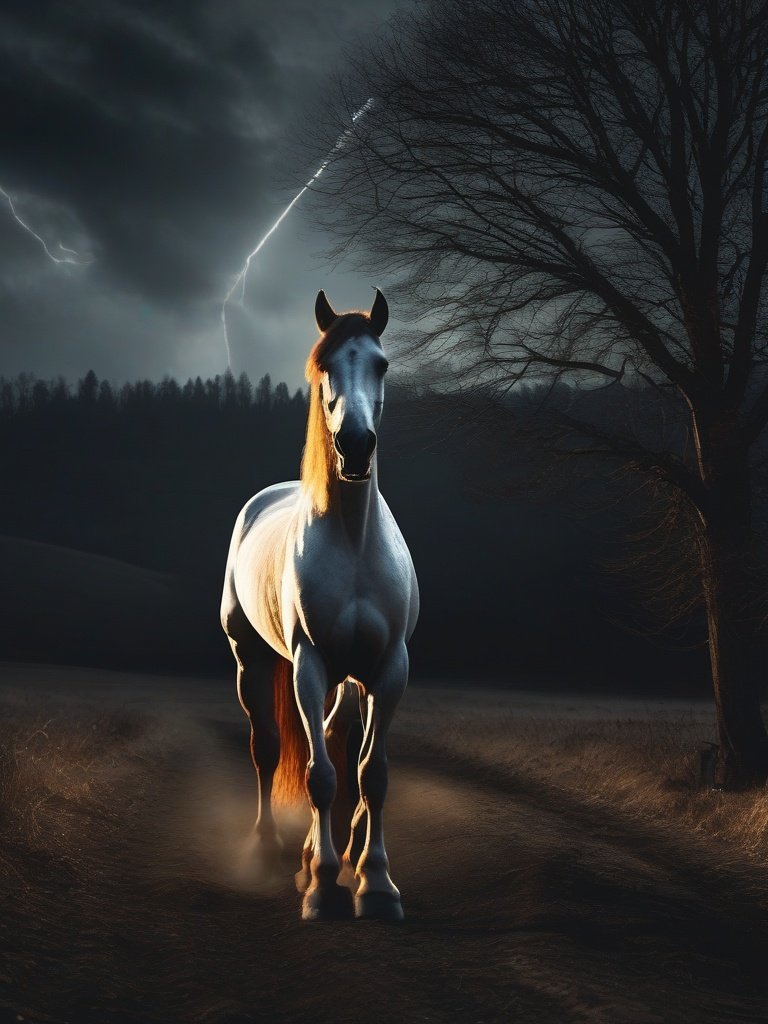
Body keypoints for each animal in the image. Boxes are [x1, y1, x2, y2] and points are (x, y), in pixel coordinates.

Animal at [220, 288, 419, 921]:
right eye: (327, 365)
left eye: (381, 363)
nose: (355, 445)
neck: (353, 540)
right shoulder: (308, 666)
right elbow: (319, 775)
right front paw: (325, 887)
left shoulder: (388, 669)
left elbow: (371, 772)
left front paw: (376, 883)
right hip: (253, 660)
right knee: (266, 748)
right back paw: (270, 848)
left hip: (346, 679)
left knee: (334, 739)